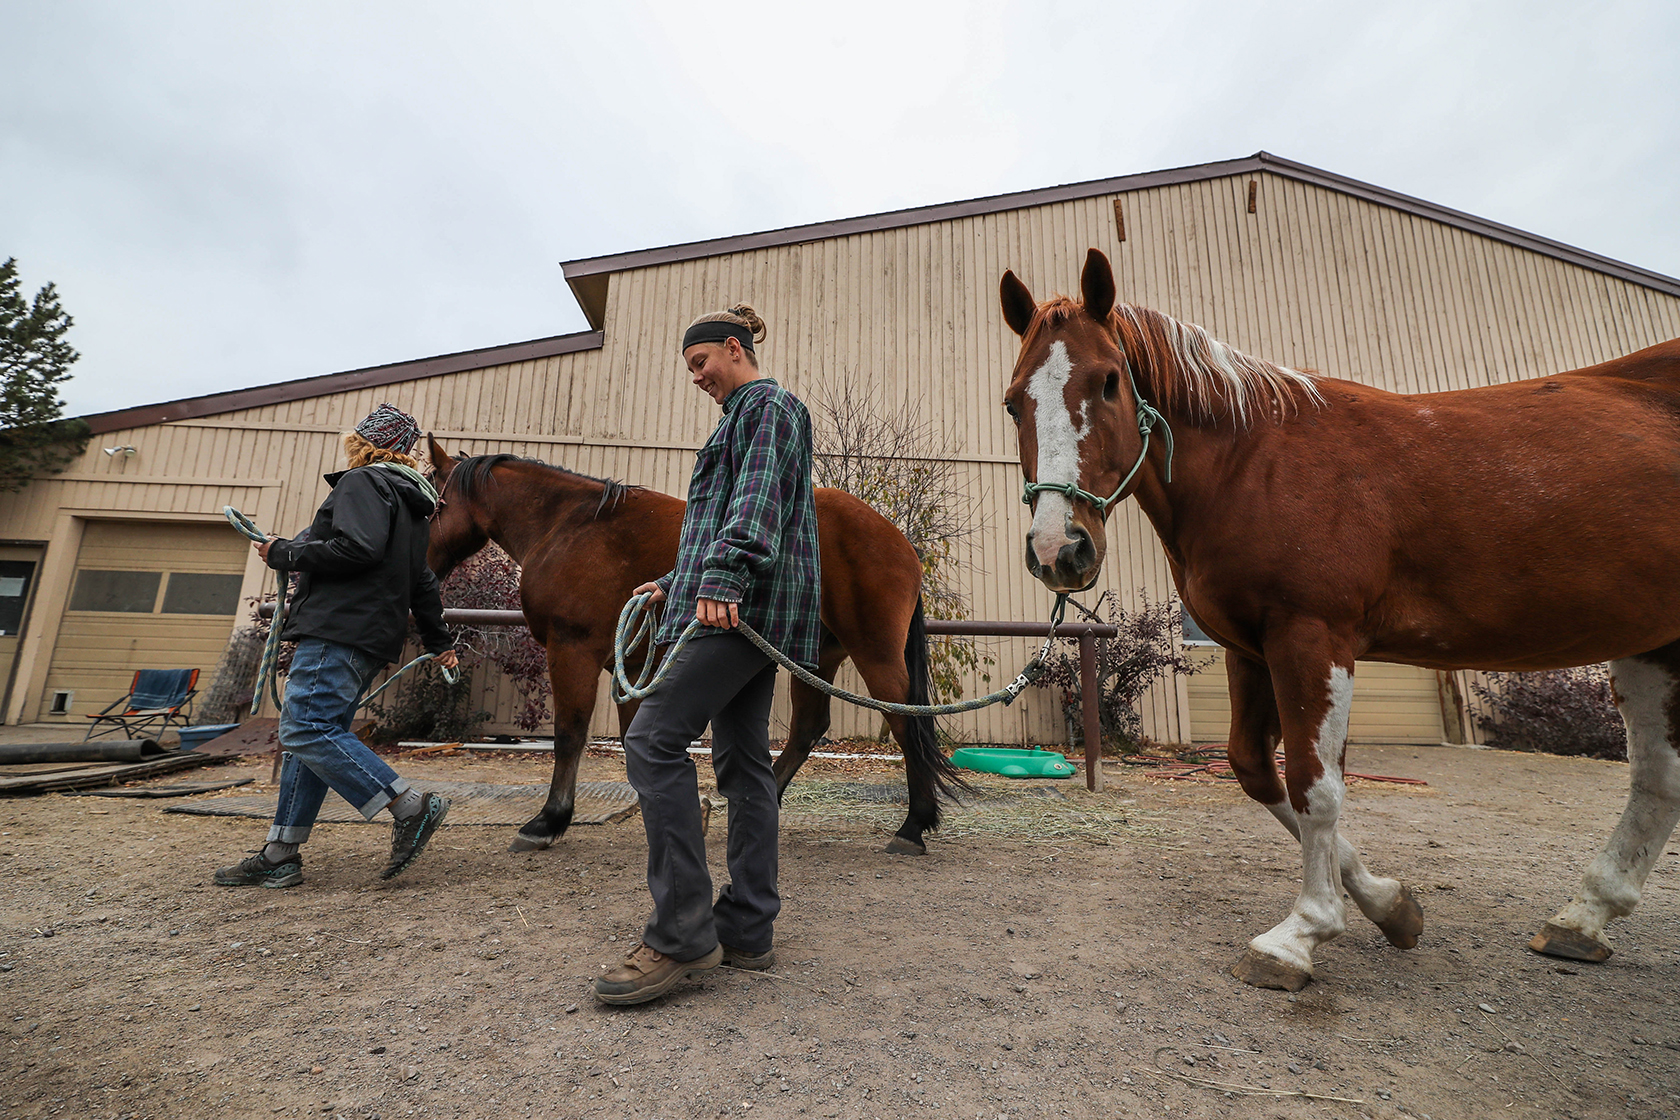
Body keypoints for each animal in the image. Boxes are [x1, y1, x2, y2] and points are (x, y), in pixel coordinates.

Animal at [426, 439, 967, 859]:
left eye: (431, 502)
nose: (424, 566)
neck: (570, 526)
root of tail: (899, 540)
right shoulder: (633, 663)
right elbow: (630, 739)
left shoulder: (572, 650)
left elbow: (570, 735)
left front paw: (548, 821)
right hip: (815, 657)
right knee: (810, 727)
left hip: (873, 653)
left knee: (905, 722)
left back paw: (913, 827)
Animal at [994, 251, 1680, 987]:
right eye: (1013, 402)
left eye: (1109, 382)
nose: (1058, 549)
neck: (1253, 461)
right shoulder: (1250, 649)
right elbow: (1255, 769)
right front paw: (1389, 905)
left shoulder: (1313, 639)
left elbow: (1315, 786)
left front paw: (1301, 934)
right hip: (1652, 642)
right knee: (1656, 779)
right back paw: (1582, 920)